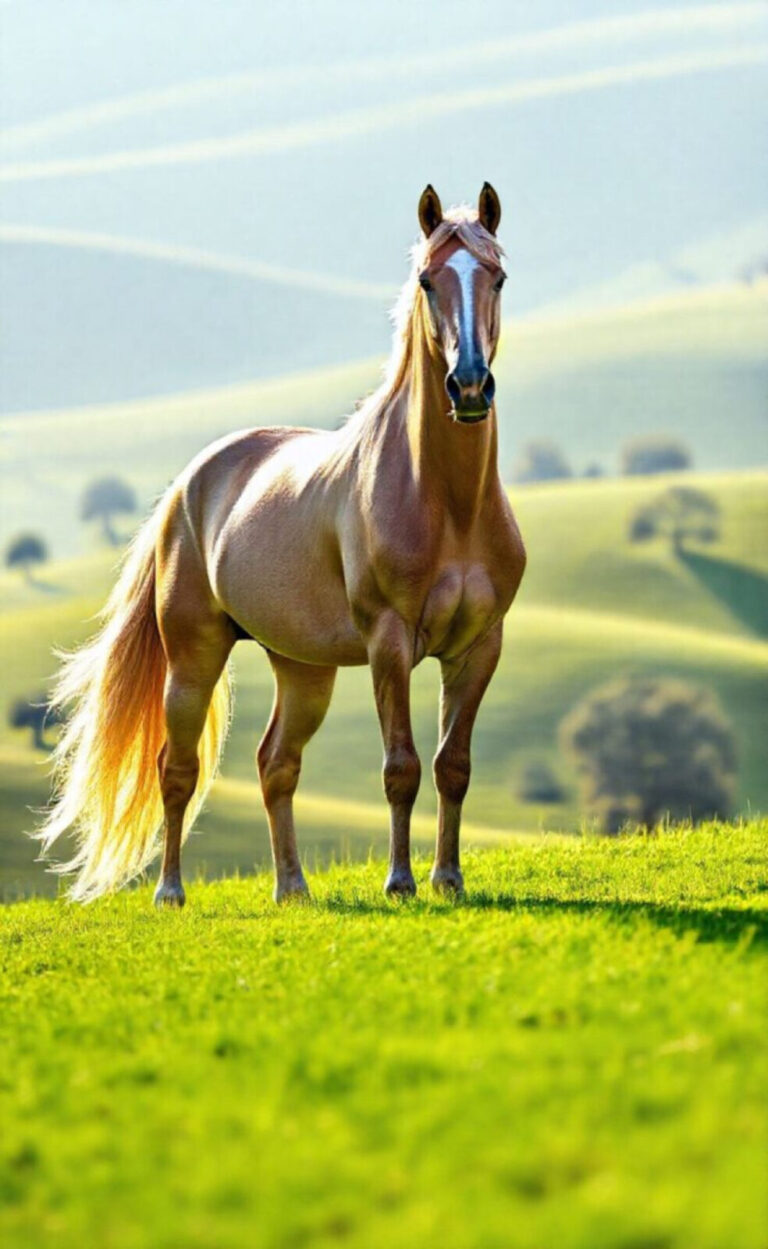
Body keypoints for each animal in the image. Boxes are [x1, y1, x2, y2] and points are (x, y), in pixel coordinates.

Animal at [37, 182, 526, 906]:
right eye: (427, 280)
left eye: (496, 276)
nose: (468, 386)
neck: (450, 504)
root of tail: (188, 486)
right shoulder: (389, 644)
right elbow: (402, 767)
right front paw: (400, 881)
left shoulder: (478, 648)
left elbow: (452, 765)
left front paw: (448, 878)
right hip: (193, 658)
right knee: (176, 768)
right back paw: (171, 892)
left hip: (301, 668)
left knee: (276, 763)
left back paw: (292, 886)